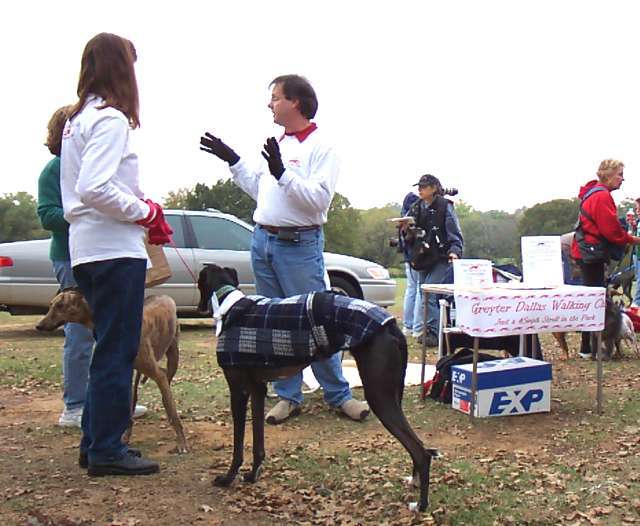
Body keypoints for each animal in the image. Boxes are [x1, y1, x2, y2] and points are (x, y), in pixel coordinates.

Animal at [36, 288, 188, 454]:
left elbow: (172, 412)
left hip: (172, 357)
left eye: (61, 305)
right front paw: (123, 438)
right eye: (51, 305)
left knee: (166, 384)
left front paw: (181, 443)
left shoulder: (157, 374)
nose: (39, 325)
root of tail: (165, 296)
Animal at [199, 266, 440, 512]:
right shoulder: (257, 389)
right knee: (419, 447)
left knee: (421, 452)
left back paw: (421, 505)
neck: (231, 306)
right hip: (392, 392)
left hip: (379, 396)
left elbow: (238, 445)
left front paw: (228, 478)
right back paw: (414, 482)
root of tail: (391, 325)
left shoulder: (238, 391)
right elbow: (258, 442)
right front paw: (252, 475)